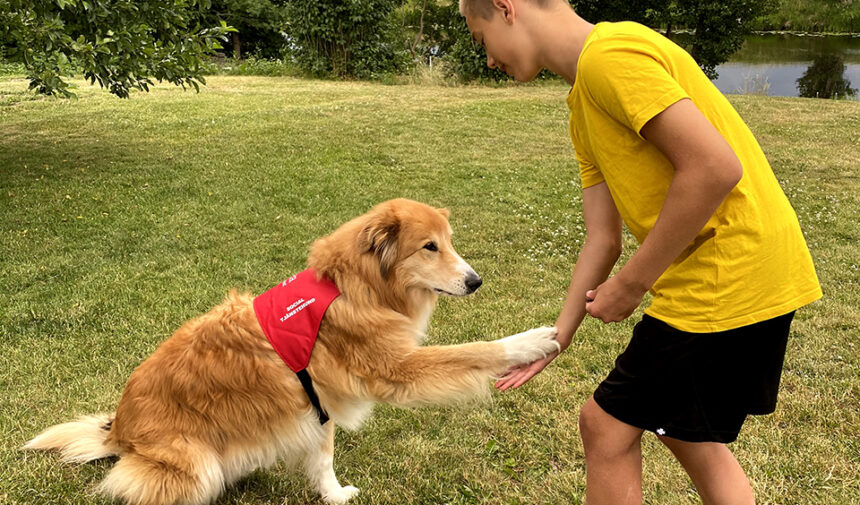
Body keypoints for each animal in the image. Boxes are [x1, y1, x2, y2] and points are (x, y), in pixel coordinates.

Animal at [25, 198, 556, 504]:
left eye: (448, 243)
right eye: (429, 247)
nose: (476, 281)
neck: (351, 286)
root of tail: (119, 431)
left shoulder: (315, 406)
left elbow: (323, 463)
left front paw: (335, 496)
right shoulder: (395, 369)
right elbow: (475, 350)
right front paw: (529, 341)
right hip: (196, 465)